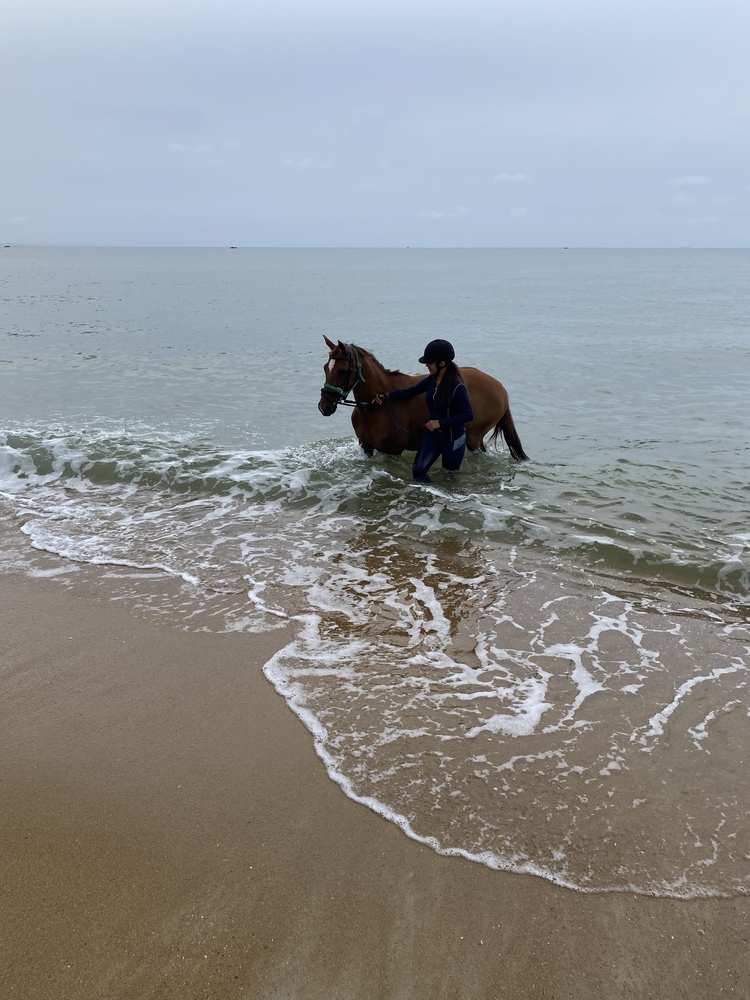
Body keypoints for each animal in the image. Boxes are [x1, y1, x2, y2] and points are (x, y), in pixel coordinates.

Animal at [318, 336, 529, 460]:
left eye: (342, 371)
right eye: (326, 368)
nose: (324, 406)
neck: (375, 406)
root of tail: (500, 388)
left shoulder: (392, 451)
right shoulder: (366, 445)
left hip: (473, 438)